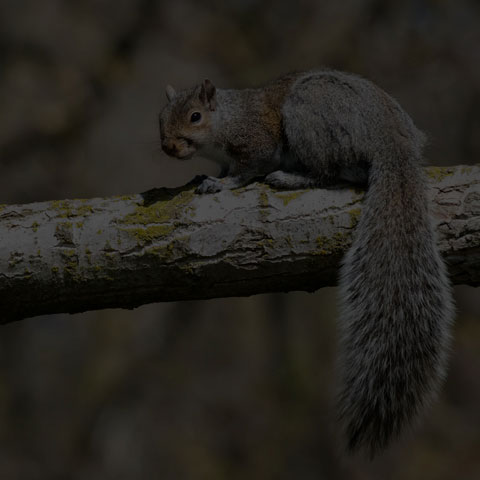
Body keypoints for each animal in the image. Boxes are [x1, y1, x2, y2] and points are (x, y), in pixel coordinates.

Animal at [158, 69, 454, 456]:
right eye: (160, 118)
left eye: (195, 116)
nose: (168, 147)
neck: (226, 119)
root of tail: (393, 141)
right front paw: (205, 176)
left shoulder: (258, 142)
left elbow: (247, 170)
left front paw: (221, 184)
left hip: (309, 119)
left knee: (329, 173)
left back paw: (290, 178)